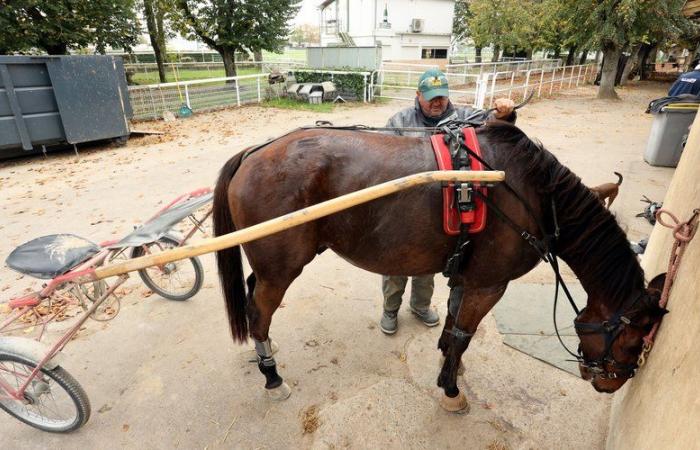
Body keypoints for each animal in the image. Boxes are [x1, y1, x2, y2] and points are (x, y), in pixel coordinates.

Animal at [212, 121, 668, 410]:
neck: (533, 195)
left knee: (253, 299)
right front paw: (450, 389)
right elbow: (465, 334)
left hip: (269, 267)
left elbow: (453, 327)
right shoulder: (489, 284)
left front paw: (450, 363)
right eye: (633, 339)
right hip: (280, 270)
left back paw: (263, 352)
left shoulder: (467, 277)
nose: (611, 382)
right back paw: (272, 376)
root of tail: (253, 153)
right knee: (259, 311)